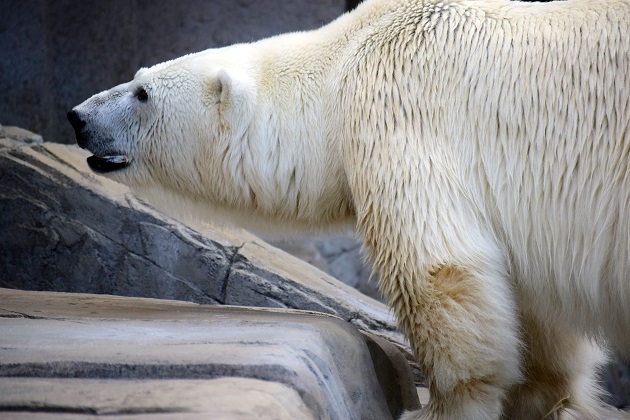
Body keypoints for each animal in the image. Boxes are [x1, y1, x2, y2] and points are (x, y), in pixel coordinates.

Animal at [70, 0, 630, 416]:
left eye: (142, 92)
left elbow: (436, 267)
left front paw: (440, 407)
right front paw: (541, 397)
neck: (346, 57)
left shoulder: (396, 110)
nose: (77, 116)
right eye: (138, 76)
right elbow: (532, 305)